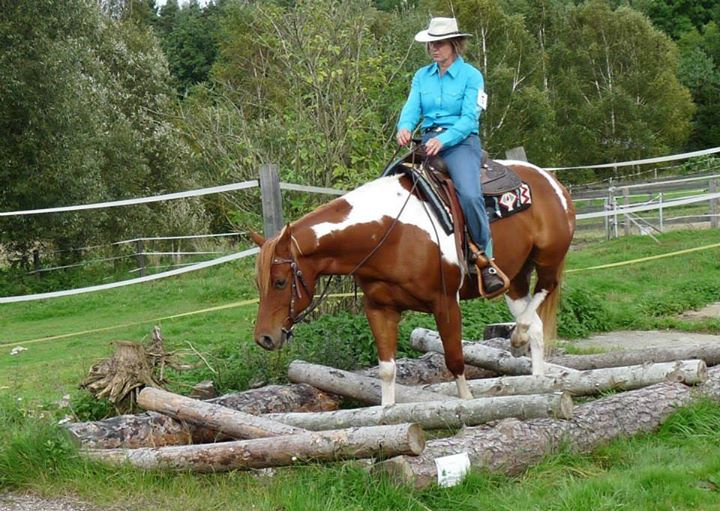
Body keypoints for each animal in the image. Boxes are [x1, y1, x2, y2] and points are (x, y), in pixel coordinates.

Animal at [250, 158, 576, 406]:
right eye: (259, 283)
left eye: (280, 282)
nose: (264, 338)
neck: (389, 233)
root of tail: (551, 180)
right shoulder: (379, 309)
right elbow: (386, 369)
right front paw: (386, 415)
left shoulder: (446, 304)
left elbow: (455, 361)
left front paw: (468, 405)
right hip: (516, 276)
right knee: (535, 325)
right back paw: (535, 380)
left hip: (548, 260)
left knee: (542, 295)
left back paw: (518, 338)